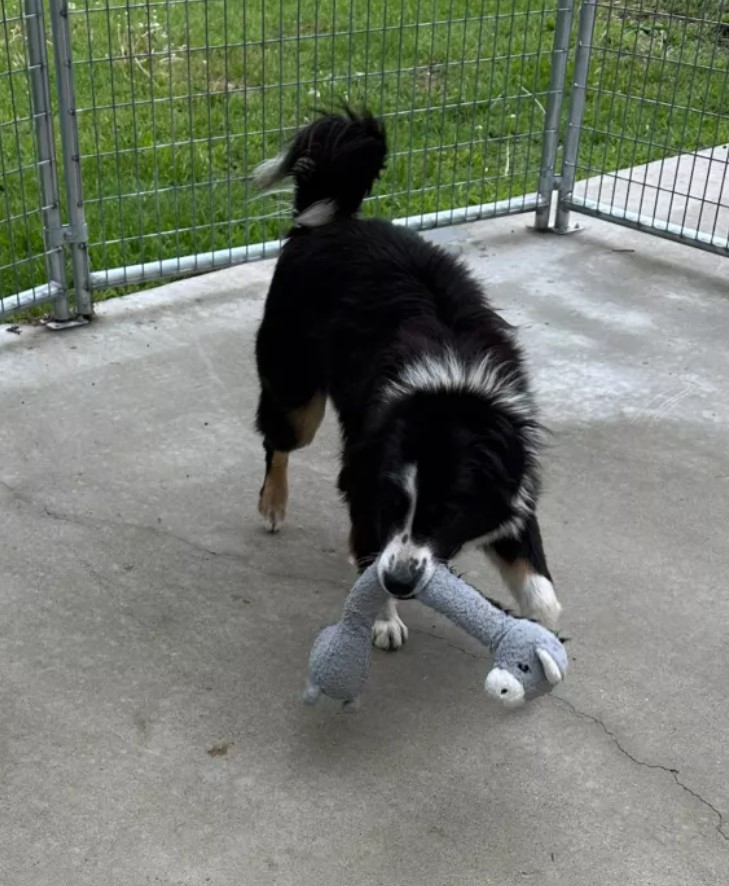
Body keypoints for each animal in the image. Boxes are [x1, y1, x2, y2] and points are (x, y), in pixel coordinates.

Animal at [250, 111, 556, 652]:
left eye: (446, 513)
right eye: (395, 504)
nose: (399, 583)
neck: (449, 394)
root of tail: (326, 223)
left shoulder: (511, 475)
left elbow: (539, 584)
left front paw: (540, 629)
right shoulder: (365, 472)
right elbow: (370, 545)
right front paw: (382, 618)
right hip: (298, 393)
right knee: (279, 440)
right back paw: (273, 505)